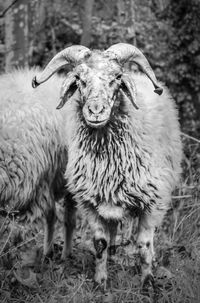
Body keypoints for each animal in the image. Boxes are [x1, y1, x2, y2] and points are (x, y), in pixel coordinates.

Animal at [32, 44, 183, 286]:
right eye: (79, 79)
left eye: (117, 78)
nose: (95, 111)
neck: (108, 163)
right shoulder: (91, 202)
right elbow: (99, 244)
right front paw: (100, 281)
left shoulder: (153, 202)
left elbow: (144, 246)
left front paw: (147, 282)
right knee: (111, 229)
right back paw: (112, 254)